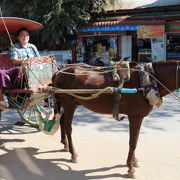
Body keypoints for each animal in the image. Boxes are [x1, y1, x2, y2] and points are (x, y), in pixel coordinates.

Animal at [51, 60, 179, 177]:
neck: (147, 81)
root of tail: (59, 71)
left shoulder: (136, 117)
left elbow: (135, 139)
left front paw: (133, 161)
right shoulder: (136, 116)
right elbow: (133, 142)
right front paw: (130, 168)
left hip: (69, 104)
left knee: (62, 121)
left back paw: (66, 145)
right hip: (69, 104)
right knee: (68, 127)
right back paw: (73, 154)